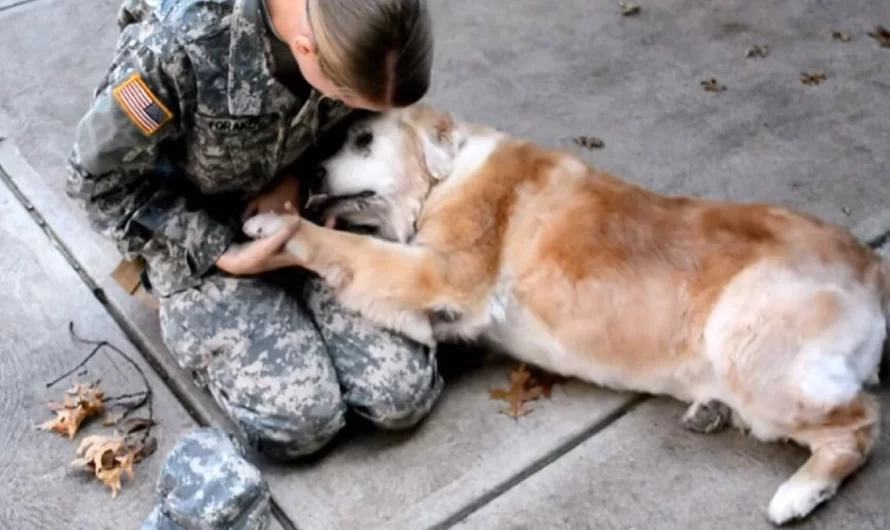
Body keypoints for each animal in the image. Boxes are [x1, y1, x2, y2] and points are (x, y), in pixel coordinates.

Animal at [239, 104, 884, 524]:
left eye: (364, 140)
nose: (310, 174)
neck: (444, 179)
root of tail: (873, 266)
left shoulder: (443, 274)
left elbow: (346, 247)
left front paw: (277, 226)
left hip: (750, 344)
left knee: (860, 423)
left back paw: (799, 494)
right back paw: (712, 411)